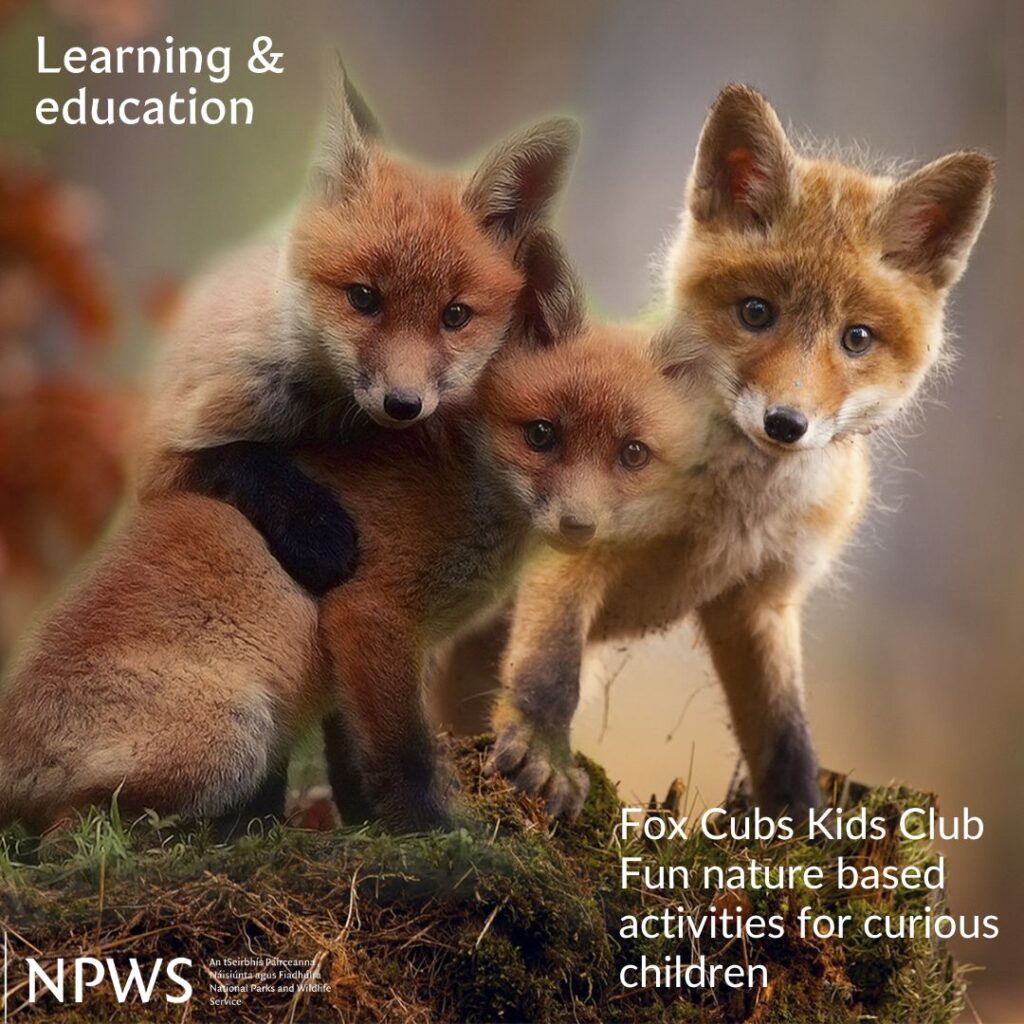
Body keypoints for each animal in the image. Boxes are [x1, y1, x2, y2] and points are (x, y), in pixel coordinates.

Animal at [0, 232, 714, 833]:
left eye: (632, 454)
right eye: (541, 435)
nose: (579, 525)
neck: (463, 484)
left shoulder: (364, 652)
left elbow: (354, 759)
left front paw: (372, 826)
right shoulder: (370, 614)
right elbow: (403, 755)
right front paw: (436, 837)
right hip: (235, 734)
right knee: (70, 834)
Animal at [137, 68, 578, 596]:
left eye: (455, 316)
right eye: (364, 298)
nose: (404, 404)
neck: (322, 415)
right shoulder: (161, 451)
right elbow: (239, 458)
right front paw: (314, 529)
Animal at [463, 84, 994, 820]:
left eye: (856, 338)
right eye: (756, 312)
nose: (786, 423)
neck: (732, 511)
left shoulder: (761, 601)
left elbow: (786, 735)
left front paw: (802, 824)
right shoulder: (575, 538)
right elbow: (550, 668)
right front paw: (544, 756)